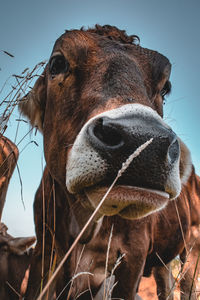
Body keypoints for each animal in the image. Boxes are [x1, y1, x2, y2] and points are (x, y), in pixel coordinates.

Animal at [18, 24, 200, 298]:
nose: (143, 139)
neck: (83, 223)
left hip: (193, 246)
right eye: (57, 63)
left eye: (166, 87)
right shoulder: (45, 246)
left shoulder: (133, 256)